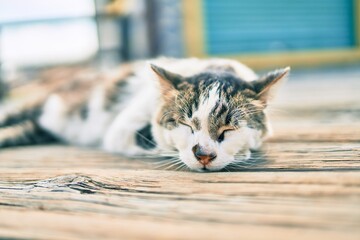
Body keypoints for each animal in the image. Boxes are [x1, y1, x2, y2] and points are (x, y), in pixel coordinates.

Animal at [0, 57, 288, 171]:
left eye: (228, 129)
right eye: (186, 125)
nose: (204, 155)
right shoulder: (123, 129)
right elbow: (158, 140)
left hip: (40, 127)